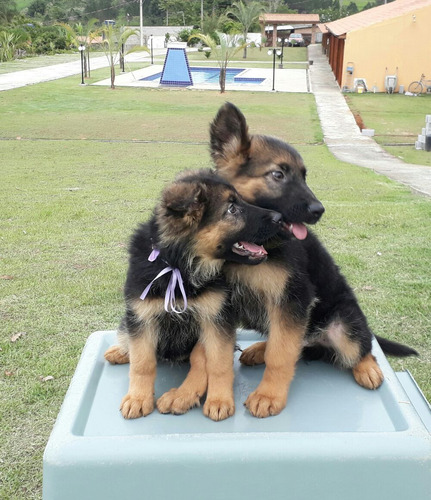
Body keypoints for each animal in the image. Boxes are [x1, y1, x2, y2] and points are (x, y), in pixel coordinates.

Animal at [104, 170, 284, 420]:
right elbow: (142, 363)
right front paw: (138, 398)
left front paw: (218, 400)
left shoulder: (215, 318)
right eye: (232, 209)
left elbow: (215, 363)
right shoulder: (142, 317)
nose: (280, 217)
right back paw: (121, 351)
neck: (179, 266)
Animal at [209, 102, 418, 418]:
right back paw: (260, 348)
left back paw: (367, 368)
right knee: (295, 344)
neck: (258, 243)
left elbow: (281, 355)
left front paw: (269, 395)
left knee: (362, 348)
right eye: (278, 175)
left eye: (304, 176)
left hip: (343, 325)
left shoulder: (293, 299)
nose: (319, 211)